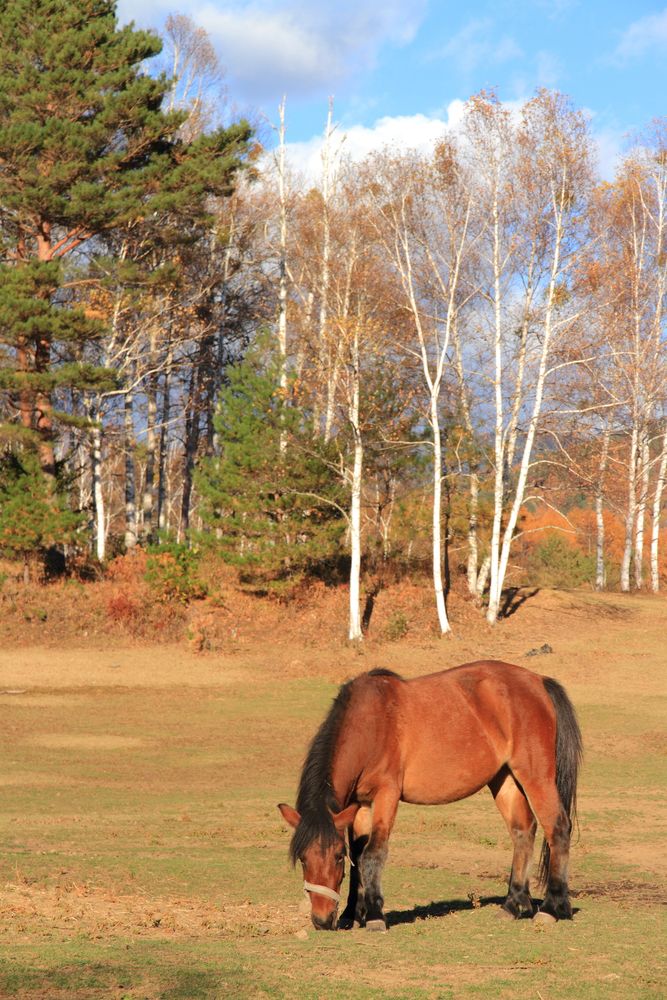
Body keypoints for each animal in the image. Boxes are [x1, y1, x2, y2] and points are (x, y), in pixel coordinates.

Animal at [278, 660, 582, 932]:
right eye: (303, 858)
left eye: (336, 857)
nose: (322, 920)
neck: (371, 724)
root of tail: (538, 681)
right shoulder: (359, 803)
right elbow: (359, 855)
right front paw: (352, 914)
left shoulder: (387, 794)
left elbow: (373, 852)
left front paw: (374, 915)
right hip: (504, 779)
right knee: (523, 832)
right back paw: (514, 905)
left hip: (535, 776)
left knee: (557, 827)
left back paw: (551, 908)